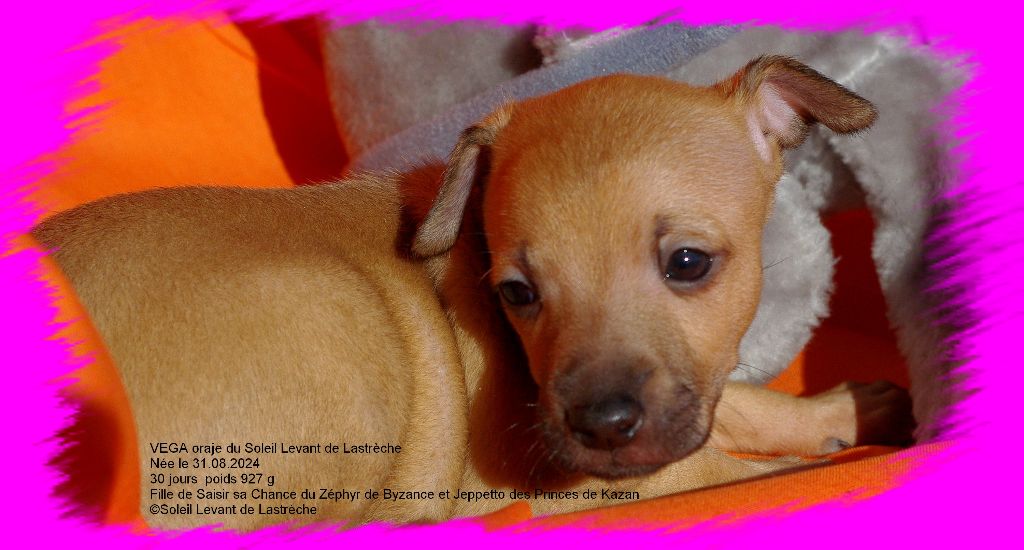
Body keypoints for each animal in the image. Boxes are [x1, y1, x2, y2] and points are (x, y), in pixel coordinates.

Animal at [33, 56, 913, 530]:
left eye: (689, 263)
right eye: (517, 293)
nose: (601, 426)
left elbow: (743, 403)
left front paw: (845, 408)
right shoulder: (618, 478)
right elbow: (755, 473)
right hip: (334, 322)